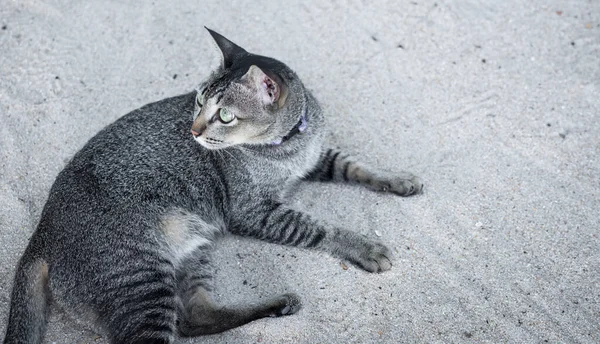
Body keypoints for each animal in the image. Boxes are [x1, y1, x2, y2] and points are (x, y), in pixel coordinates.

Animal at [2, 28, 422, 344]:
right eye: (199, 99)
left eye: (224, 115)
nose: (194, 130)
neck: (288, 148)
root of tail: (41, 235)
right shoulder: (256, 212)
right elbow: (319, 228)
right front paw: (363, 246)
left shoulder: (316, 157)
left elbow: (355, 167)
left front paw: (398, 179)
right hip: (142, 275)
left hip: (190, 249)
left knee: (195, 316)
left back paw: (274, 307)